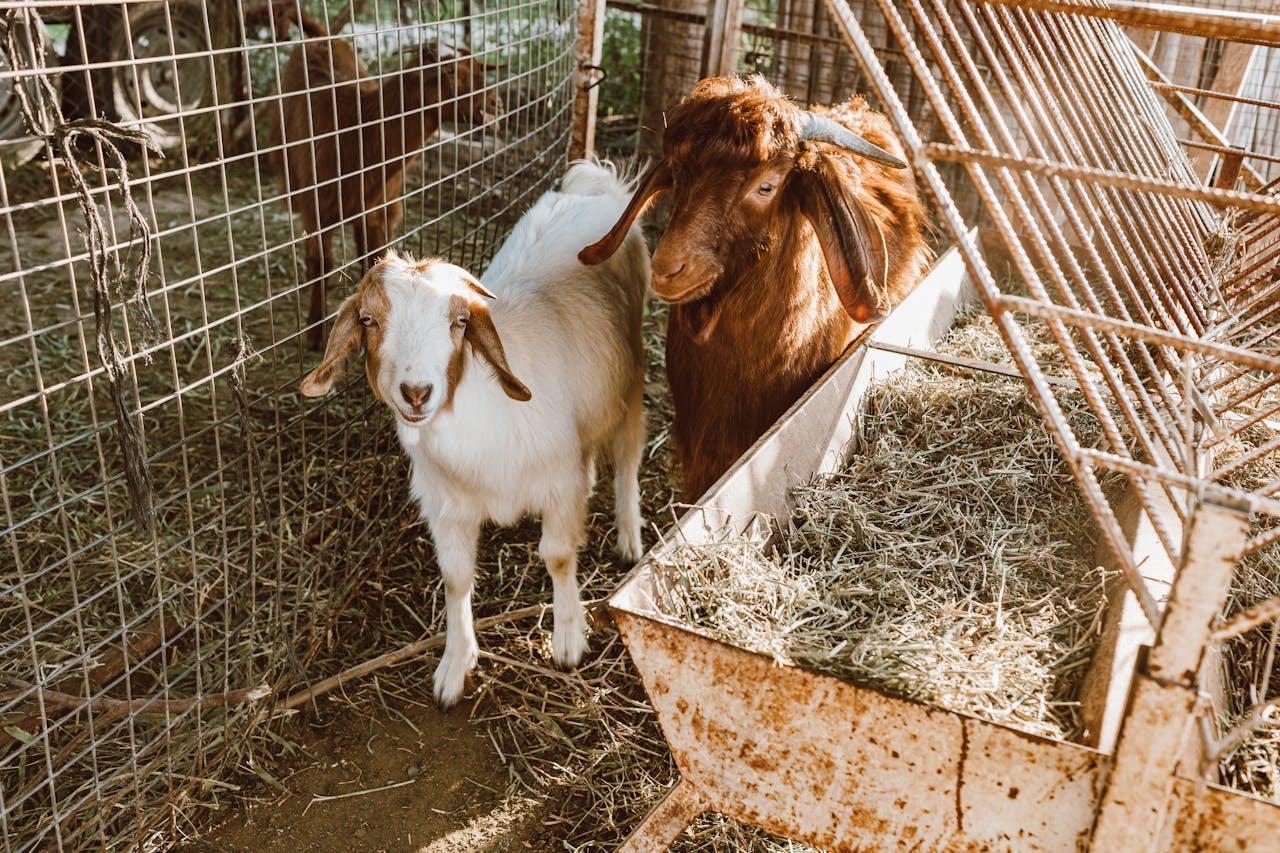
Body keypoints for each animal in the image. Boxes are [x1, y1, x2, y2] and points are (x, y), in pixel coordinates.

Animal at [271, 21, 502, 349]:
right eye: (449, 72)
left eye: (480, 68)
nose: (497, 103)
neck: (356, 129)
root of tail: (319, 37)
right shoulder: (315, 210)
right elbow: (322, 263)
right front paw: (315, 333)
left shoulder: (382, 208)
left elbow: (377, 260)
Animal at [300, 160, 650, 707]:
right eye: (368, 320)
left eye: (460, 321)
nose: (416, 392)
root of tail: (595, 184)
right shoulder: (446, 504)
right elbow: (456, 577)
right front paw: (455, 664)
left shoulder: (558, 483)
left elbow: (557, 555)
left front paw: (568, 638)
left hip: (629, 379)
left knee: (630, 454)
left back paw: (630, 535)